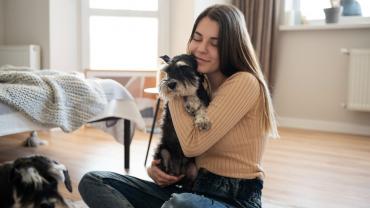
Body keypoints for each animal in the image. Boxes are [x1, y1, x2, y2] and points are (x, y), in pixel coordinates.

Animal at [153, 54, 211, 190]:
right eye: (167, 71)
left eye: (184, 69)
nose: (170, 84)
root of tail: (178, 172)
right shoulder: (171, 105)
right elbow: (183, 95)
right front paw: (191, 101)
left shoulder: (204, 99)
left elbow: (201, 107)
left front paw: (202, 120)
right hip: (163, 153)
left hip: (193, 170)